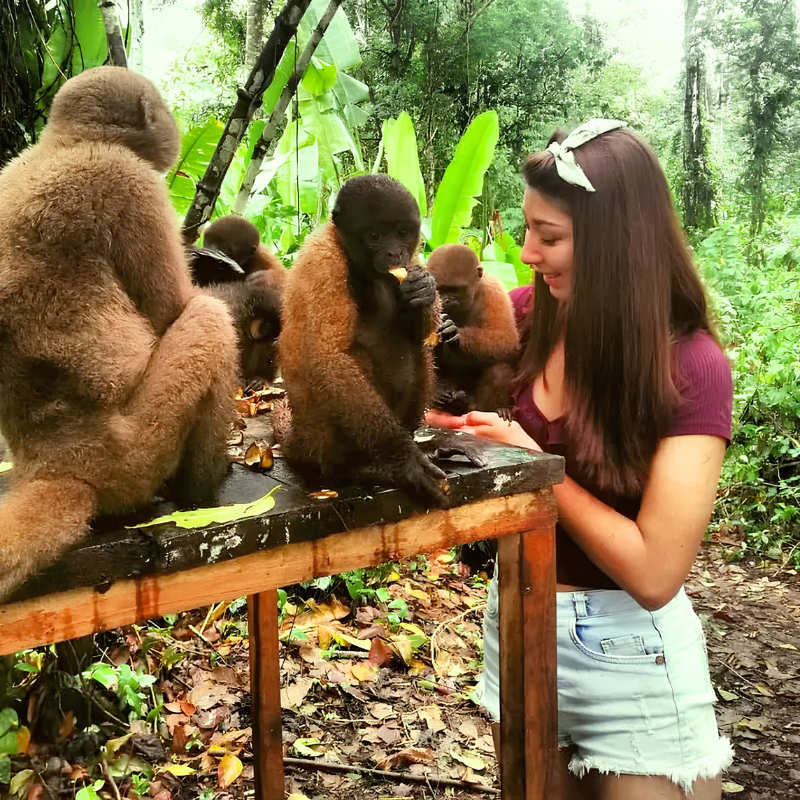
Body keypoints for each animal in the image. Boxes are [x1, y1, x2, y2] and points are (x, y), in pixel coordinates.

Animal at [0, 66, 239, 599]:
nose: (172, 124)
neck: (61, 143)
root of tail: (57, 464)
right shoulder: (132, 182)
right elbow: (172, 308)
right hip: (137, 452)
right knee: (210, 319)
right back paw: (202, 488)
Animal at [279, 174, 450, 507]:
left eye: (401, 233)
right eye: (375, 235)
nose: (394, 254)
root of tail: (297, 442)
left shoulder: (414, 258)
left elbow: (421, 331)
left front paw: (424, 290)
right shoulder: (323, 261)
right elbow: (329, 357)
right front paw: (406, 462)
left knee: (417, 350)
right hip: (317, 440)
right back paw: (356, 468)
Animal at [427, 244, 520, 420]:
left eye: (455, 290)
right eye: (440, 289)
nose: (446, 300)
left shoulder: (493, 288)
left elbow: (506, 338)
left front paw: (456, 335)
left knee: (499, 368)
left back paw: (495, 408)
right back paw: (440, 393)